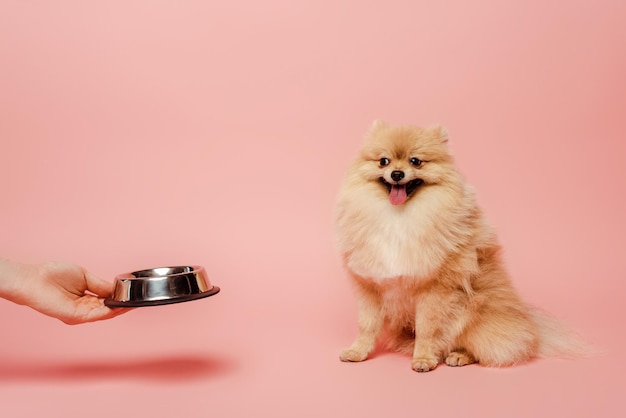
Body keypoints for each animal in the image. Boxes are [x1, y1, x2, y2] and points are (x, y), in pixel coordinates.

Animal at [334, 121, 584, 372]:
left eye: (416, 161)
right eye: (383, 161)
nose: (397, 174)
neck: (399, 216)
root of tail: (530, 324)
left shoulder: (435, 288)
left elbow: (427, 328)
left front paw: (423, 358)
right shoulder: (370, 284)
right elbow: (367, 325)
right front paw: (358, 351)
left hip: (474, 312)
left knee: (482, 347)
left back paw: (459, 356)